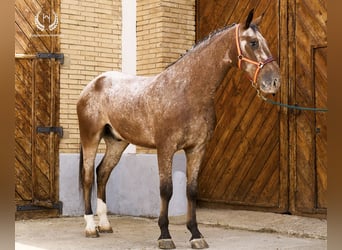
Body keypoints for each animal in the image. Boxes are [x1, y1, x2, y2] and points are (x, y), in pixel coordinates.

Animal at [76, 8, 280, 249]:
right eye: (253, 42)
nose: (274, 82)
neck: (186, 91)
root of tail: (93, 84)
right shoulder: (166, 148)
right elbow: (166, 190)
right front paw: (165, 235)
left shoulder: (197, 148)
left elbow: (191, 191)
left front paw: (196, 234)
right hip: (90, 137)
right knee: (88, 177)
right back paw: (91, 227)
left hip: (117, 142)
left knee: (103, 173)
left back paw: (105, 224)